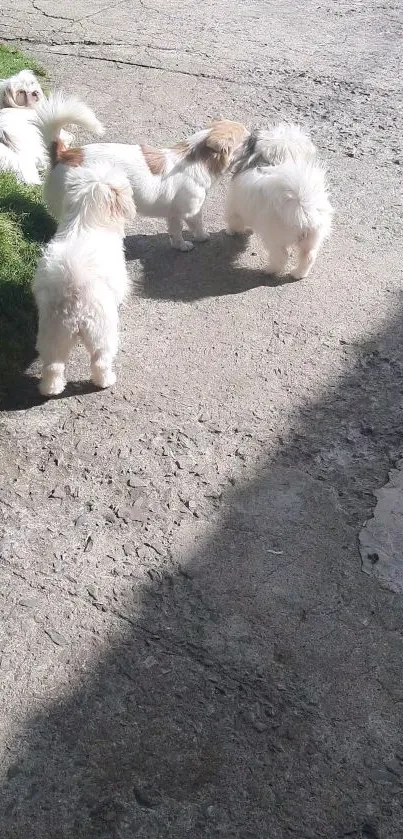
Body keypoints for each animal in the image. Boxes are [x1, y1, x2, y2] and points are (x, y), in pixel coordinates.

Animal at [32, 161, 136, 398]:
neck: (85, 220)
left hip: (53, 332)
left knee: (53, 365)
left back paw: (50, 389)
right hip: (102, 331)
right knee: (100, 361)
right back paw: (105, 381)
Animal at [35, 93, 249, 249]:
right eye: (247, 141)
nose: (255, 136)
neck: (196, 159)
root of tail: (63, 154)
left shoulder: (174, 215)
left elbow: (175, 233)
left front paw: (180, 246)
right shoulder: (192, 212)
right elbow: (197, 226)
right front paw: (202, 237)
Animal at [226, 124, 332, 280]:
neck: (274, 160)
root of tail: (303, 207)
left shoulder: (234, 205)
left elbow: (234, 220)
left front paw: (232, 232)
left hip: (274, 238)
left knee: (281, 256)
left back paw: (270, 270)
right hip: (312, 239)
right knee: (308, 257)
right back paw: (298, 274)